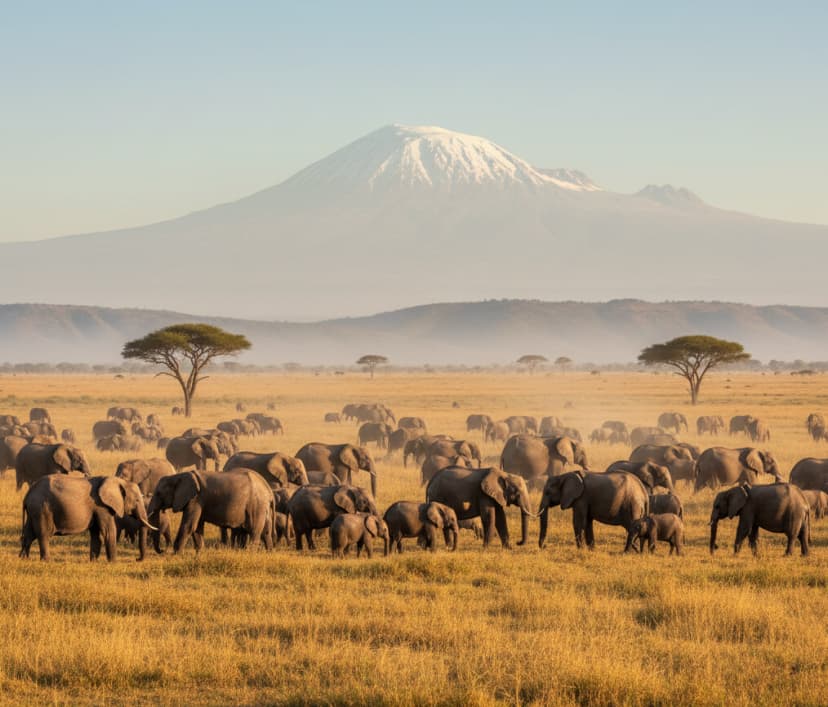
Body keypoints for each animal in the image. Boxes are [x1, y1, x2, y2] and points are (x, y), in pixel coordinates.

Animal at [21, 475, 154, 561]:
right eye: (137, 500)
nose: (137, 559)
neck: (118, 480)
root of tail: (28, 494)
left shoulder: (97, 509)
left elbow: (96, 534)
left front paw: (93, 562)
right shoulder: (101, 506)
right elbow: (108, 531)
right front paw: (113, 563)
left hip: (34, 511)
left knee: (29, 534)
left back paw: (23, 559)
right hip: (42, 508)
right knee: (44, 534)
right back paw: (46, 561)